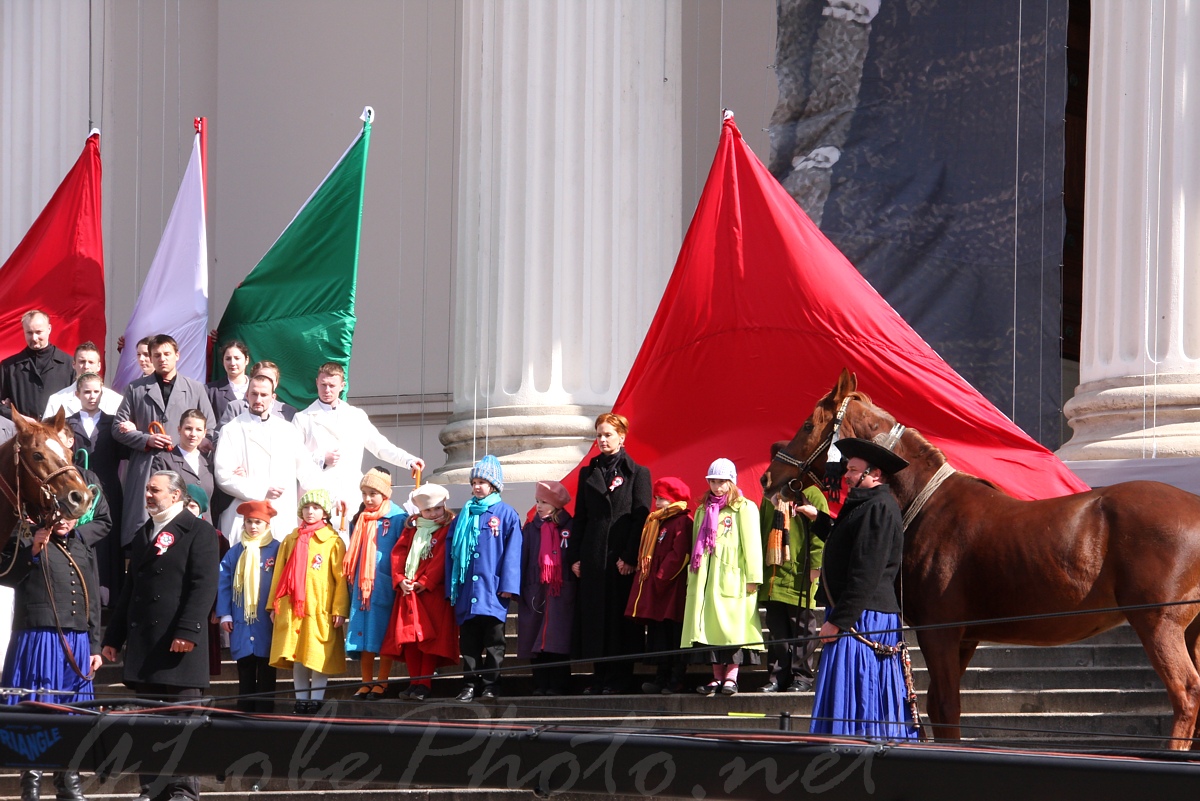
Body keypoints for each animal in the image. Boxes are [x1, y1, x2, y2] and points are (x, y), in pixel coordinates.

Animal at [758, 371, 1200, 753]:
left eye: (806, 426)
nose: (768, 478)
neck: (926, 504)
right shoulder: (965, 637)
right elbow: (940, 706)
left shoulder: (939, 631)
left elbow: (946, 708)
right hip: (1189, 630)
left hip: (1158, 623)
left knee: (1186, 693)